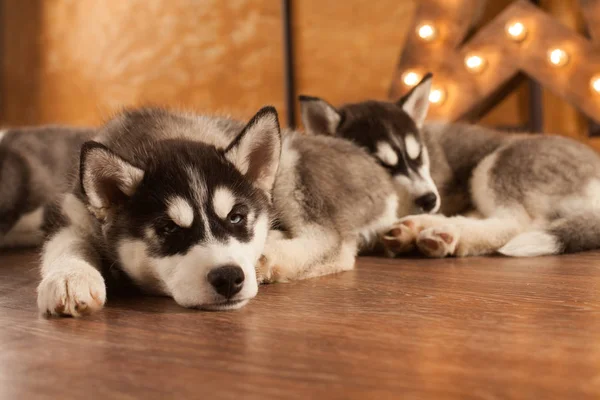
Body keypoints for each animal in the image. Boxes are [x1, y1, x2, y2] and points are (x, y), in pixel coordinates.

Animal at [37, 106, 412, 316]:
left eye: (236, 217)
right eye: (168, 229)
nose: (229, 277)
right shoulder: (74, 213)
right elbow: (65, 243)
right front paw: (70, 278)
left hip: (290, 165)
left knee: (336, 243)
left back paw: (272, 256)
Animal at [300, 73, 600, 258]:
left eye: (418, 155)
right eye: (382, 164)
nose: (430, 199)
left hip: (497, 164)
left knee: (512, 223)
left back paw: (441, 231)